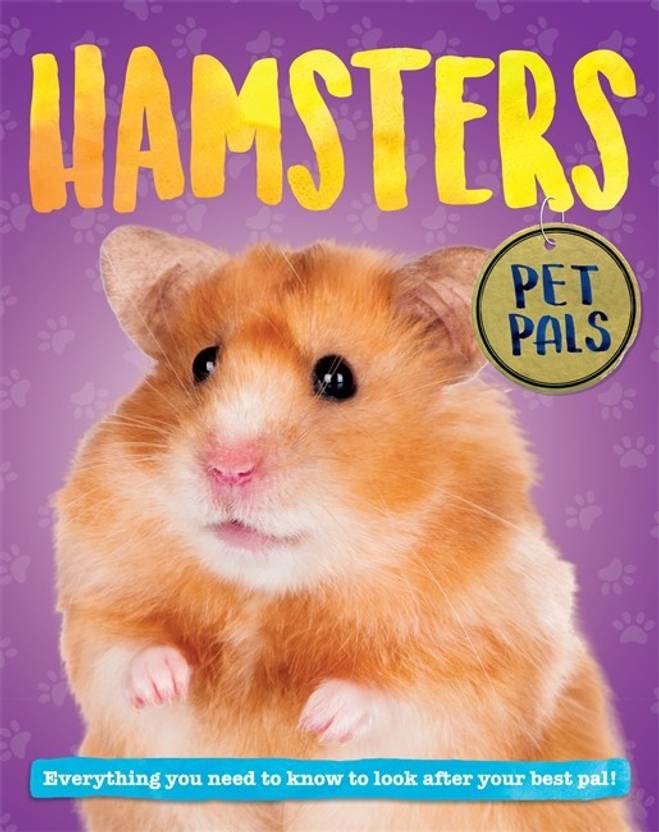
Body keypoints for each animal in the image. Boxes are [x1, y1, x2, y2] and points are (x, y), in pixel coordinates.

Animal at [55, 226, 630, 832]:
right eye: (203, 363)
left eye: (337, 378)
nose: (227, 469)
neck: (273, 593)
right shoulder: (98, 601)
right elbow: (123, 650)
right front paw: (166, 684)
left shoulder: (496, 660)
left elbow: (412, 697)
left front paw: (317, 718)